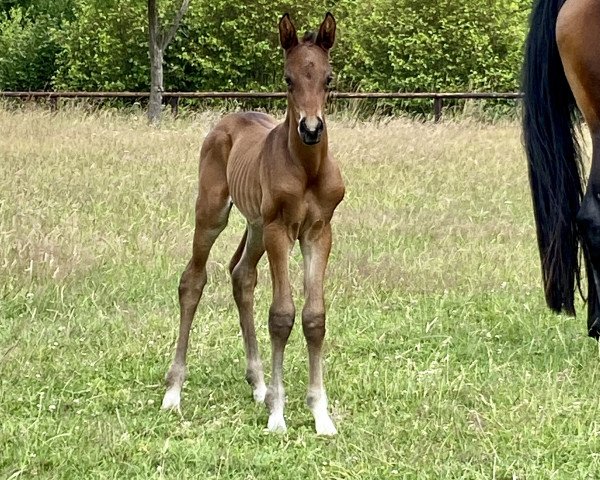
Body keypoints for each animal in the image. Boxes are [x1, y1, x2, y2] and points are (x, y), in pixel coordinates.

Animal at [162, 14, 344, 436]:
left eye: (328, 78)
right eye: (287, 78)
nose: (311, 129)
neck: (307, 169)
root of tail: (228, 120)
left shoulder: (318, 231)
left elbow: (314, 317)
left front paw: (321, 415)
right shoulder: (280, 229)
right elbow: (281, 315)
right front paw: (278, 415)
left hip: (256, 227)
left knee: (242, 275)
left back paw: (259, 385)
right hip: (214, 214)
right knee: (192, 281)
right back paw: (173, 392)